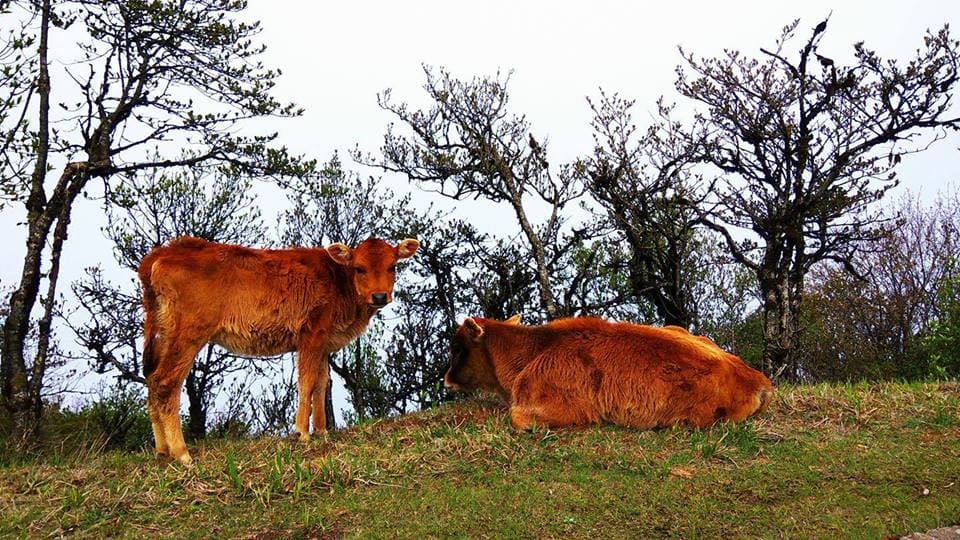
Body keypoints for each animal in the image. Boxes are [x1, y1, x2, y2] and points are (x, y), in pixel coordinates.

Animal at [138, 236, 419, 464]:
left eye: (393, 266)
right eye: (359, 268)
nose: (379, 296)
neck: (338, 281)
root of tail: (165, 251)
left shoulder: (324, 342)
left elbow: (322, 383)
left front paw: (322, 431)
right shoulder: (311, 333)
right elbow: (307, 381)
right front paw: (303, 433)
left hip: (165, 332)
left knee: (152, 380)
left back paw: (162, 450)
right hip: (189, 333)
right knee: (166, 382)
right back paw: (181, 452)